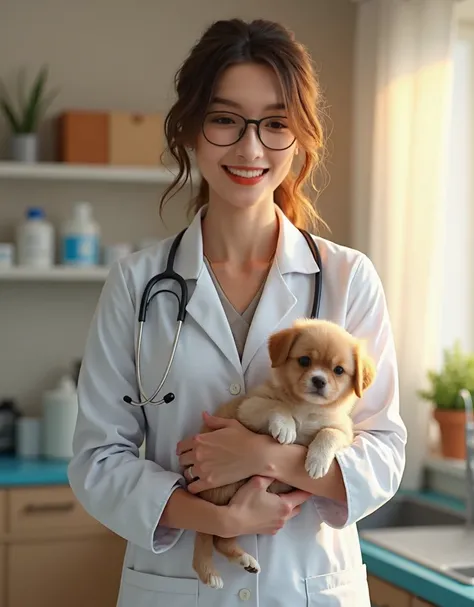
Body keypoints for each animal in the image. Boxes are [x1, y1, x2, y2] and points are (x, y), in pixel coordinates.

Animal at [191, 318, 376, 588]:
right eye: (304, 361)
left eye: (339, 370)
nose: (319, 381)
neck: (306, 408)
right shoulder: (251, 407)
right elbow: (278, 406)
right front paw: (286, 427)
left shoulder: (344, 431)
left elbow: (327, 433)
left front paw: (317, 461)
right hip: (220, 495)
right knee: (206, 535)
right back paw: (209, 572)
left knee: (221, 538)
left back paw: (244, 560)